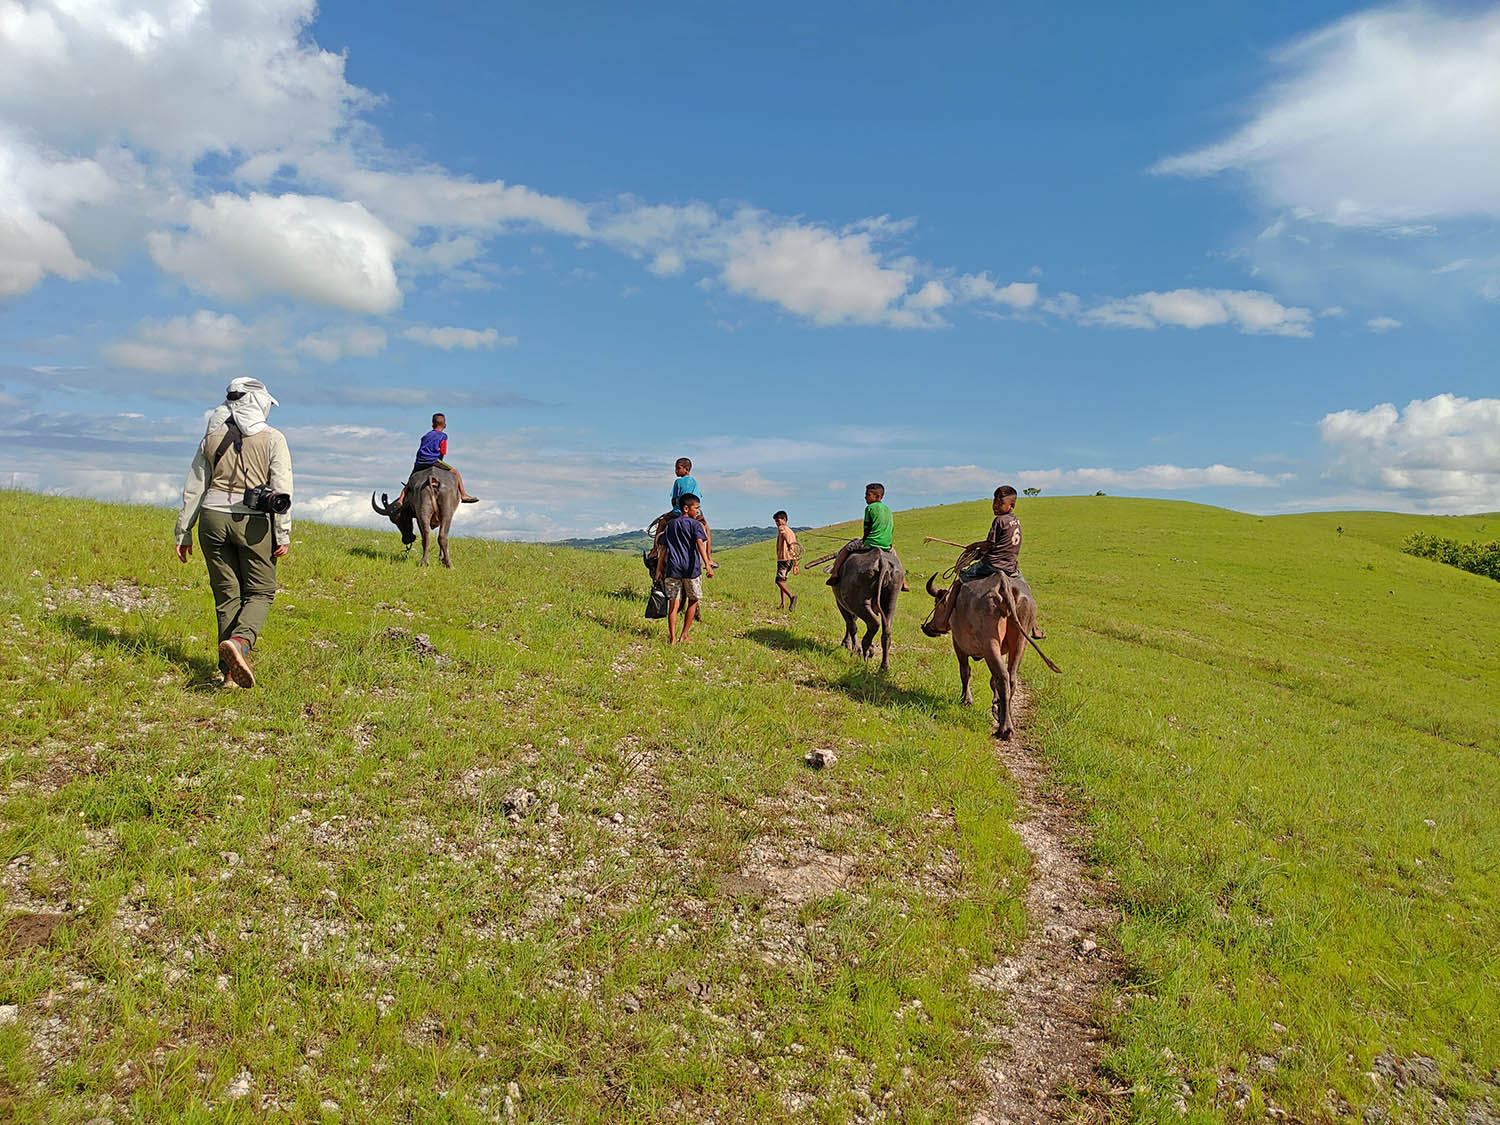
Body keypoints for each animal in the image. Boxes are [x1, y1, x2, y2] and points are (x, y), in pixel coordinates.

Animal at [925, 570, 1036, 740]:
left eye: (937, 603)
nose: (928, 627)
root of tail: (1003, 584)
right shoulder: (1002, 652)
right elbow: (992, 681)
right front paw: (996, 705)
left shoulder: (958, 644)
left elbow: (965, 672)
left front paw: (966, 700)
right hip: (1019, 642)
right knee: (1011, 678)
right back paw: (1006, 715)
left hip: (990, 643)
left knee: (1002, 677)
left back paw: (1004, 728)